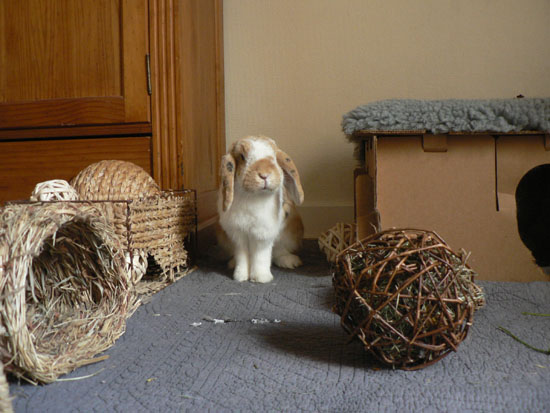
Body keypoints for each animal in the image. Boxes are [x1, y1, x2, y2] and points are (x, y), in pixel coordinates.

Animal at [218, 135, 306, 284]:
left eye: (274, 157)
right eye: (242, 157)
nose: (264, 175)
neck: (254, 196)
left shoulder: (263, 234)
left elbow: (261, 255)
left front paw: (261, 278)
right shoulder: (238, 234)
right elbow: (242, 256)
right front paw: (240, 276)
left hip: (290, 233)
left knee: (278, 251)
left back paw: (290, 262)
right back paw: (232, 263)